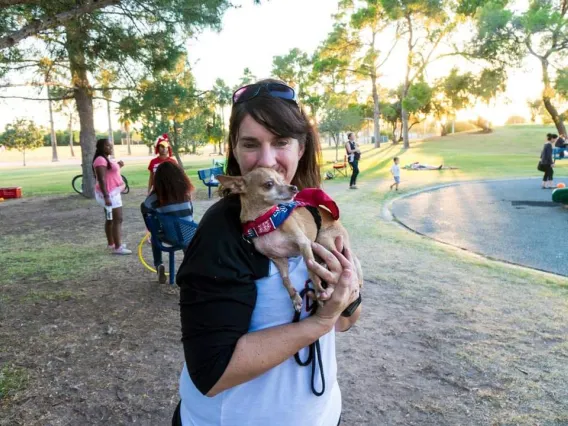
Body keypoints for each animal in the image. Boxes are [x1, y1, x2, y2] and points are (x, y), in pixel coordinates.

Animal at [219, 168, 364, 312]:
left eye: (283, 180)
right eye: (269, 184)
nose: (294, 187)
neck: (267, 221)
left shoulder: (304, 243)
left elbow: (311, 270)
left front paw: (318, 291)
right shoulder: (279, 259)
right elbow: (285, 279)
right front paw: (295, 298)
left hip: (324, 239)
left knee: (346, 257)